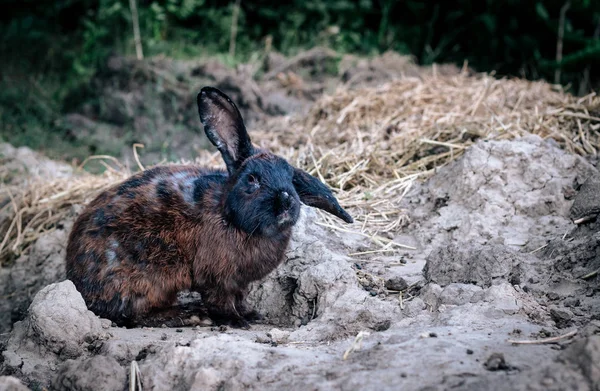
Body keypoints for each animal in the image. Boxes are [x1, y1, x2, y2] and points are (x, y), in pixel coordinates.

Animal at [67, 87, 352, 330]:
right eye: (252, 179)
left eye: (291, 178)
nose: (286, 201)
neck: (231, 217)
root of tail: (78, 283)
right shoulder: (216, 279)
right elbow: (220, 301)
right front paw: (238, 322)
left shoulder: (238, 283)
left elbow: (239, 298)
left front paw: (251, 314)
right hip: (146, 280)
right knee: (135, 314)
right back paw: (189, 315)